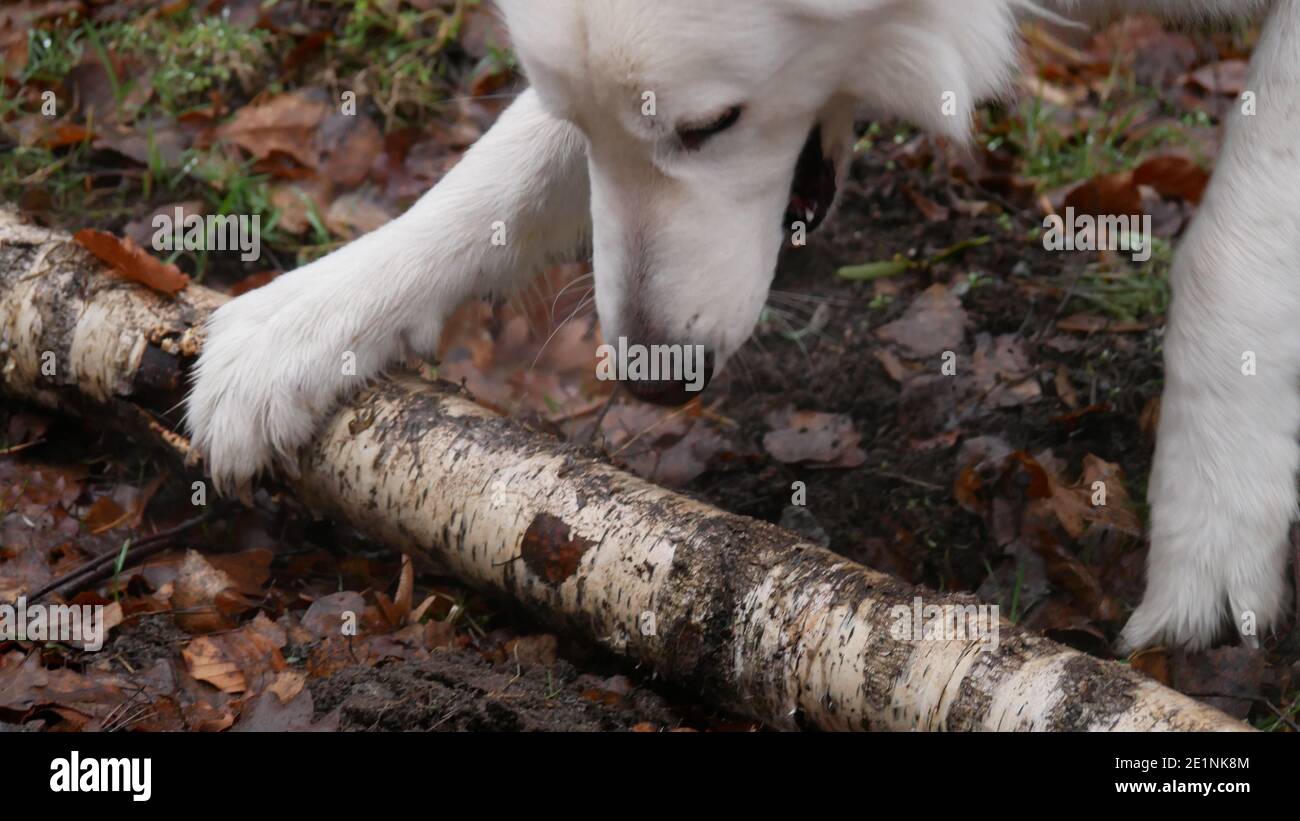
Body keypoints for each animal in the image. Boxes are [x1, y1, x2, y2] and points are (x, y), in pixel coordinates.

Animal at [185, 1, 1300, 654]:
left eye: (708, 126)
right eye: (577, 115)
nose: (650, 377)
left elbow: (1236, 235)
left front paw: (1211, 518)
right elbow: (503, 165)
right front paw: (307, 316)